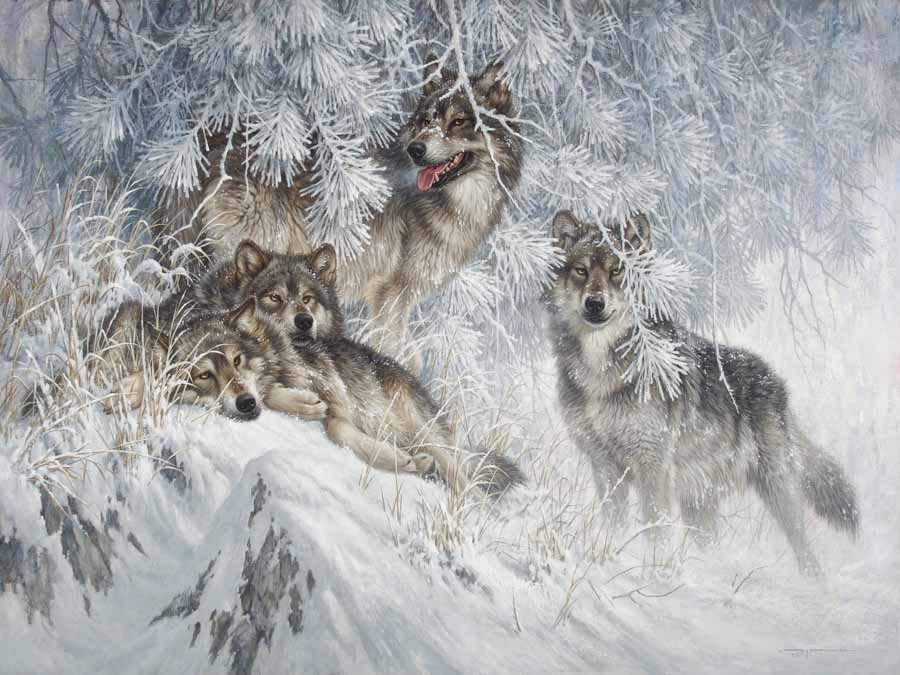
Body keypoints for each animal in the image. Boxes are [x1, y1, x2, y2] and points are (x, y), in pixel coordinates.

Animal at [547, 210, 859, 575]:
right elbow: (613, 521)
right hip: (699, 503)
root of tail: (776, 381)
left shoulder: (653, 465)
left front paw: (657, 570)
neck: (602, 372)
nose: (595, 303)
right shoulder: (604, 466)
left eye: (616, 271)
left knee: (805, 550)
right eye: (581, 271)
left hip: (776, 488)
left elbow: (655, 528)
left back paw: (814, 583)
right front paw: (608, 554)